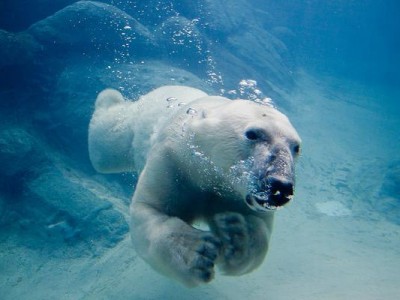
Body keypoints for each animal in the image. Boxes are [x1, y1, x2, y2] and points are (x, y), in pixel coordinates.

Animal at [87, 85, 300, 288]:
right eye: (252, 134)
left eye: (296, 147)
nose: (280, 187)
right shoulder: (173, 161)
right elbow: (150, 209)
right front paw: (198, 252)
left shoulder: (236, 196)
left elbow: (258, 228)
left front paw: (237, 233)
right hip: (137, 121)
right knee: (107, 145)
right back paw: (109, 97)